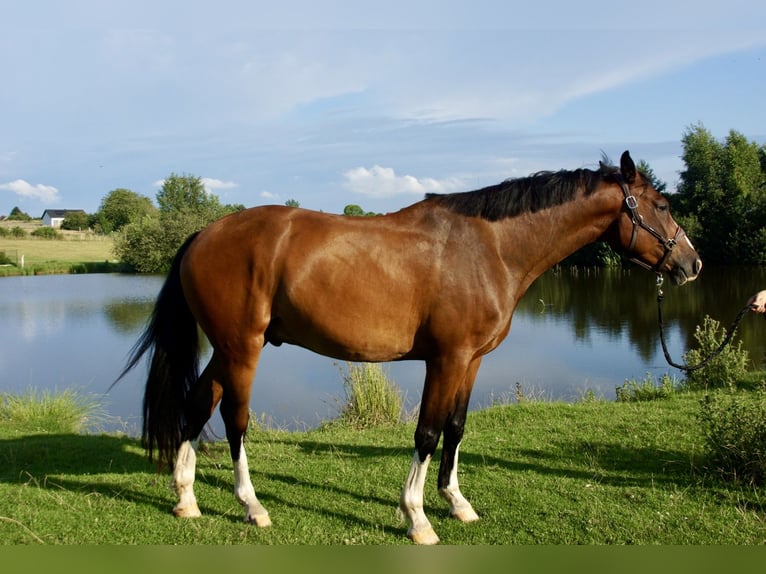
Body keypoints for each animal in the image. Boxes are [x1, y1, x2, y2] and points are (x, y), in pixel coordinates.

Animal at [119, 150, 701, 544]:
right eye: (662, 204)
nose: (692, 263)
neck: (490, 248)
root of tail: (203, 235)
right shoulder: (445, 359)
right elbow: (426, 432)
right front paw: (417, 516)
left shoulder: (470, 361)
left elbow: (456, 428)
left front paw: (457, 502)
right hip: (243, 348)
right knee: (235, 420)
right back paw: (251, 506)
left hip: (227, 348)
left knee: (198, 404)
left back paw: (186, 499)